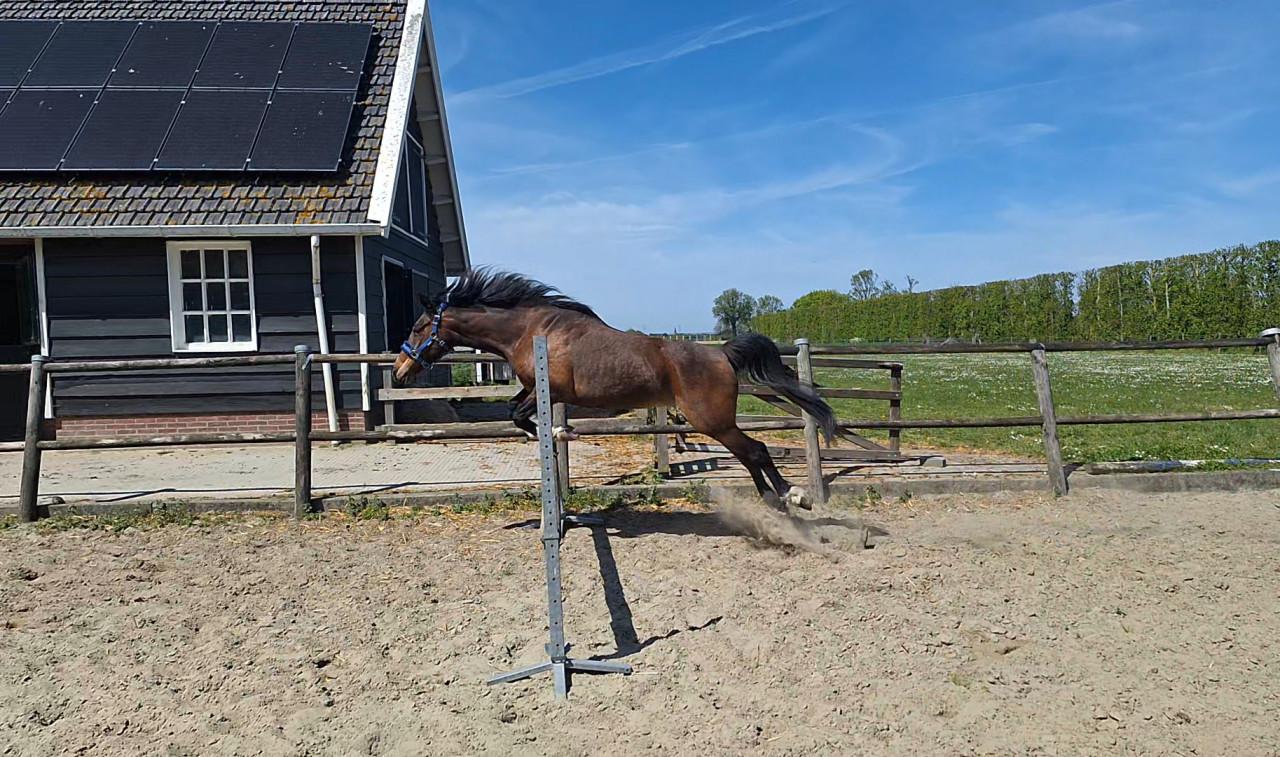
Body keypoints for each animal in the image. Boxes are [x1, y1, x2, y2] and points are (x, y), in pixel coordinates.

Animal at [392, 269, 837, 508]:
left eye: (418, 327)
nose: (399, 371)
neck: (529, 330)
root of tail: (722, 354)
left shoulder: (550, 388)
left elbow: (519, 414)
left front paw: (557, 434)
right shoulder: (538, 389)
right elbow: (513, 412)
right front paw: (554, 435)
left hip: (712, 420)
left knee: (756, 450)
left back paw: (793, 496)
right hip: (715, 423)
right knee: (749, 454)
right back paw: (773, 501)